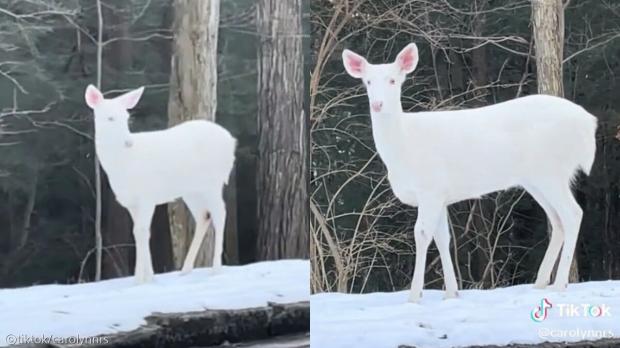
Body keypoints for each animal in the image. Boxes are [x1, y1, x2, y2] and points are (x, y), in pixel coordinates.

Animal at [85, 85, 235, 284]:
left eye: (127, 117)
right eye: (110, 117)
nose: (128, 142)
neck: (123, 165)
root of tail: (232, 142)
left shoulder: (147, 196)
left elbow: (141, 231)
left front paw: (141, 280)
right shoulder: (132, 203)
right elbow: (139, 232)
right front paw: (148, 277)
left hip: (212, 181)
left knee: (220, 213)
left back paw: (216, 269)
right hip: (192, 190)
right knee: (204, 216)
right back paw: (185, 270)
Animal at [342, 42, 600, 302]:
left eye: (393, 80)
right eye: (367, 82)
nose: (377, 104)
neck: (403, 148)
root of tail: (589, 123)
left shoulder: (430, 188)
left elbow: (422, 234)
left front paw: (414, 296)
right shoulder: (441, 194)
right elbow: (443, 238)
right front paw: (451, 293)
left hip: (550, 170)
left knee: (572, 213)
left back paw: (559, 285)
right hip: (536, 179)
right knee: (557, 220)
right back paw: (540, 283)